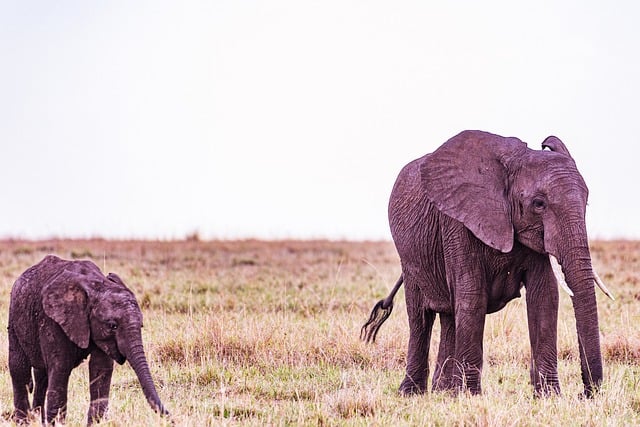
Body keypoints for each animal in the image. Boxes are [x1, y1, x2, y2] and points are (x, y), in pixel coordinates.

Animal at [9, 256, 169, 426]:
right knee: (19, 369)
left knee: (41, 375)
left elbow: (101, 369)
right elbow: (60, 368)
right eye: (113, 326)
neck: (97, 285)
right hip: (14, 316)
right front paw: (57, 423)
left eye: (141, 325)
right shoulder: (53, 320)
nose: (169, 417)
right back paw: (23, 422)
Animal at [362, 130, 612, 398]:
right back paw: (412, 393)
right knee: (421, 317)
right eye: (538, 204)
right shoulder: (458, 222)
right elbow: (472, 296)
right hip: (410, 256)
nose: (585, 394)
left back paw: (444, 392)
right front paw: (471, 396)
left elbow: (544, 298)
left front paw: (549, 397)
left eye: (586, 203)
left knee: (450, 315)